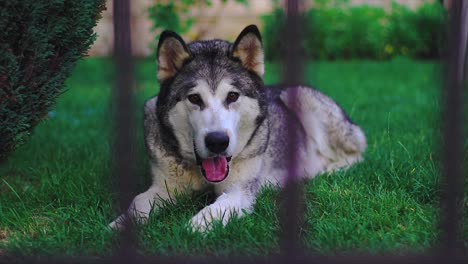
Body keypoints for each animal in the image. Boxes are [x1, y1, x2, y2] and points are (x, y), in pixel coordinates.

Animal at [109, 24, 366, 231]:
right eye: (194, 98)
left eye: (232, 96)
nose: (217, 141)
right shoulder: (166, 186)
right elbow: (139, 201)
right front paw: (119, 225)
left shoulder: (240, 189)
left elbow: (219, 206)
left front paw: (197, 225)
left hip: (301, 99)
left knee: (355, 155)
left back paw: (324, 171)